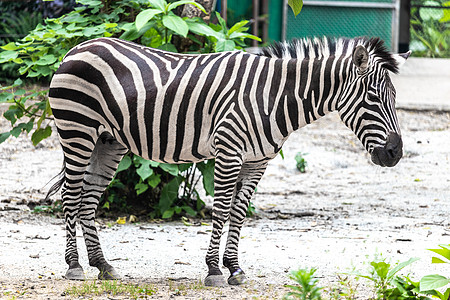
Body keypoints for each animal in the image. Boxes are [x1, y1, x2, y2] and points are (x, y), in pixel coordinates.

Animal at [46, 37, 412, 286]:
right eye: (372, 98)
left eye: (395, 97)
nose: (395, 154)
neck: (275, 97)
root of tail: (78, 47)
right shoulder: (229, 151)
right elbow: (221, 210)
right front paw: (213, 269)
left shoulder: (258, 161)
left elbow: (238, 213)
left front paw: (235, 268)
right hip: (77, 130)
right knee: (70, 196)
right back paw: (74, 266)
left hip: (109, 142)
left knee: (88, 200)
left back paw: (102, 265)